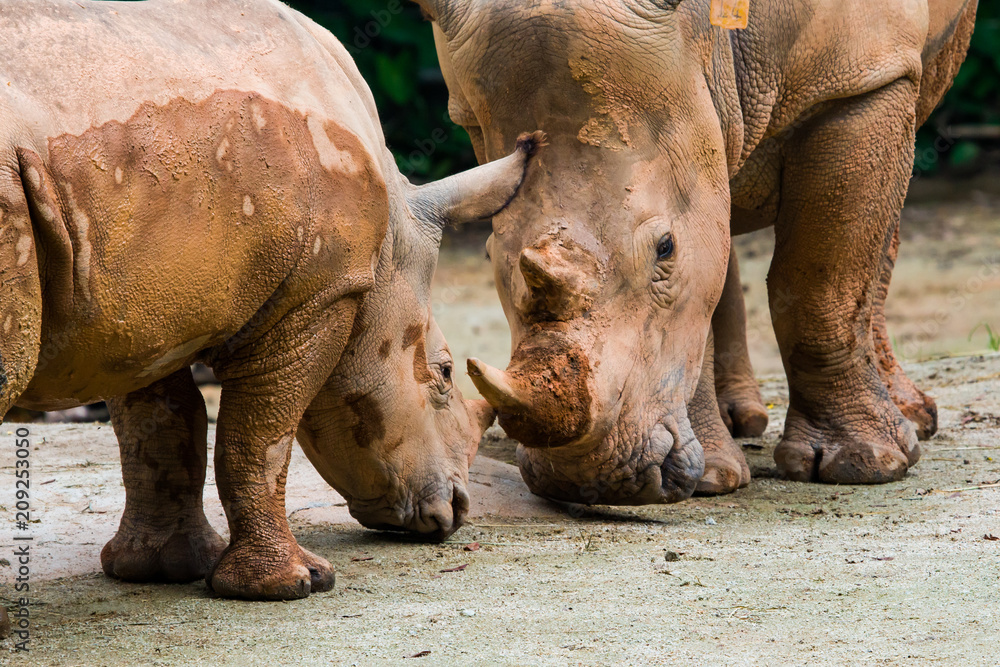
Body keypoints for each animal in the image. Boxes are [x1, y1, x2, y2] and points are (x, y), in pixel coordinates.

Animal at [0, 0, 545, 600]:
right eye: (445, 374)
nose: (458, 510)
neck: (388, 251)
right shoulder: (319, 292)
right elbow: (259, 434)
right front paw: (293, 584)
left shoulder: (139, 307)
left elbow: (162, 422)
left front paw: (160, 569)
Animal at [416, 0, 977, 502]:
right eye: (490, 256)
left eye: (665, 249)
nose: (584, 482)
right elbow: (701, 283)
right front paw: (712, 479)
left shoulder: (859, 77)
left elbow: (820, 283)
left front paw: (862, 466)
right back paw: (739, 426)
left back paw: (911, 421)